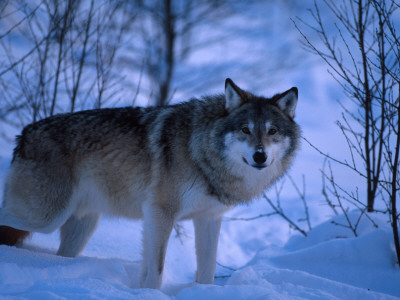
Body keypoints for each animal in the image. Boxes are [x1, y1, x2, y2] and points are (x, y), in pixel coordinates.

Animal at [0, 78, 300, 290]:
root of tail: (23, 134)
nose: (260, 156)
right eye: (245, 130)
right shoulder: (160, 213)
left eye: (272, 131)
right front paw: (149, 293)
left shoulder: (208, 219)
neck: (200, 151)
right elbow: (156, 268)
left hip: (81, 228)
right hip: (45, 217)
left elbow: (207, 271)